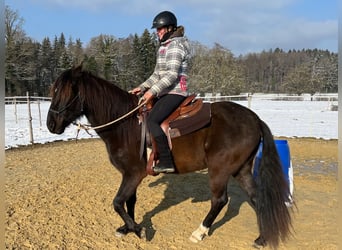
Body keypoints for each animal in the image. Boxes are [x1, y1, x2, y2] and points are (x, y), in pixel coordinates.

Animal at [47, 64, 294, 248]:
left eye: (65, 92)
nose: (51, 125)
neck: (126, 124)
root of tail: (254, 118)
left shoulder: (134, 173)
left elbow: (117, 202)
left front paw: (138, 230)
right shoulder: (130, 174)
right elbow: (129, 201)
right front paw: (128, 227)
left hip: (220, 169)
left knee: (220, 200)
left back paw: (199, 232)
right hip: (241, 169)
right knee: (257, 198)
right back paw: (262, 238)